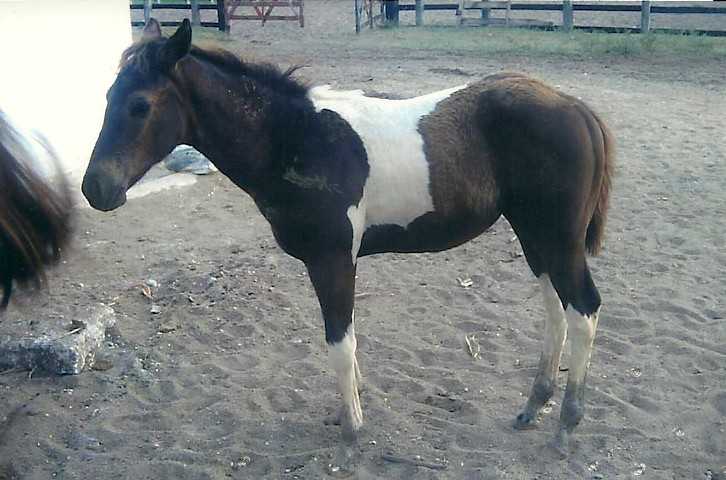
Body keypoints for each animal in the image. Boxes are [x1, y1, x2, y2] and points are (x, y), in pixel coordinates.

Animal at [82, 18, 614, 453]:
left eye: (140, 105)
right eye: (106, 98)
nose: (95, 188)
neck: (297, 139)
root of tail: (576, 107)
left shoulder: (332, 258)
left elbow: (340, 343)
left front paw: (352, 428)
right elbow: (348, 341)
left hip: (558, 237)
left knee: (584, 309)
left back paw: (566, 425)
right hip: (533, 233)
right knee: (555, 308)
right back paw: (533, 406)